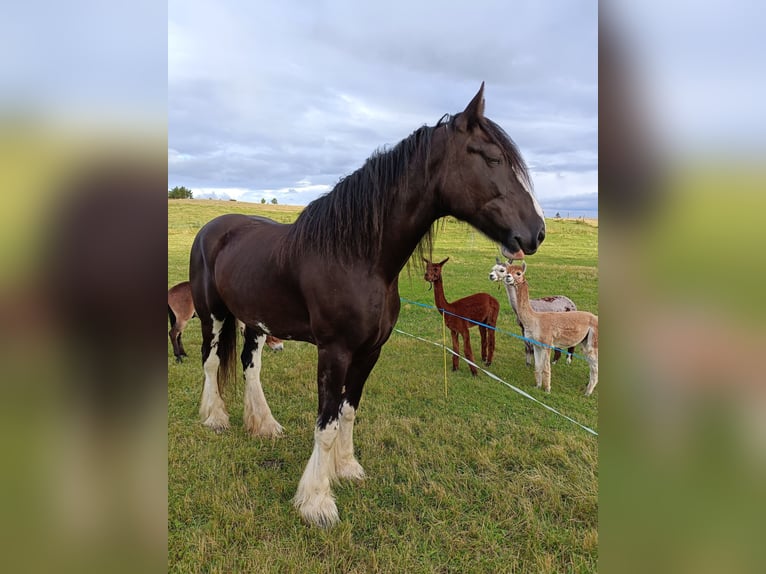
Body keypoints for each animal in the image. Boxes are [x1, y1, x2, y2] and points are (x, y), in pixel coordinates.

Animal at [189, 83, 546, 527]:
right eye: (493, 158)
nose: (537, 232)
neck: (357, 256)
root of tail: (212, 228)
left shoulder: (370, 351)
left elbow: (348, 411)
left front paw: (346, 468)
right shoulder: (335, 351)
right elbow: (325, 422)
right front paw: (317, 501)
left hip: (254, 321)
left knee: (250, 367)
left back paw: (264, 425)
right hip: (214, 315)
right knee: (209, 362)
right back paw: (215, 418)